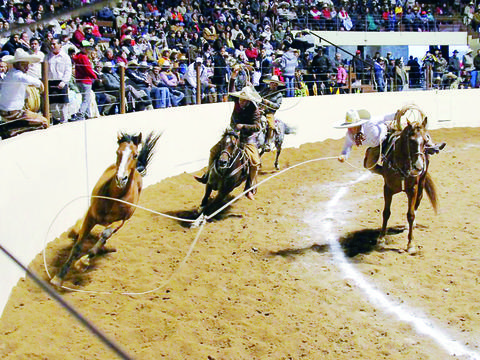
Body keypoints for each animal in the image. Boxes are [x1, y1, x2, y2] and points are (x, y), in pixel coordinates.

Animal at [50, 131, 160, 286]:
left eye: (135, 155)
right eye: (118, 152)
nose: (121, 179)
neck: (114, 197)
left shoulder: (121, 221)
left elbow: (105, 234)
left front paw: (83, 263)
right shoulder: (90, 216)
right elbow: (77, 246)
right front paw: (58, 277)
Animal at [378, 116, 438, 255]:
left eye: (425, 141)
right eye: (411, 141)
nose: (419, 167)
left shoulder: (412, 190)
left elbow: (410, 215)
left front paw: (411, 244)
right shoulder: (387, 189)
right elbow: (386, 213)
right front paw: (381, 239)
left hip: (420, 187)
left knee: (417, 204)